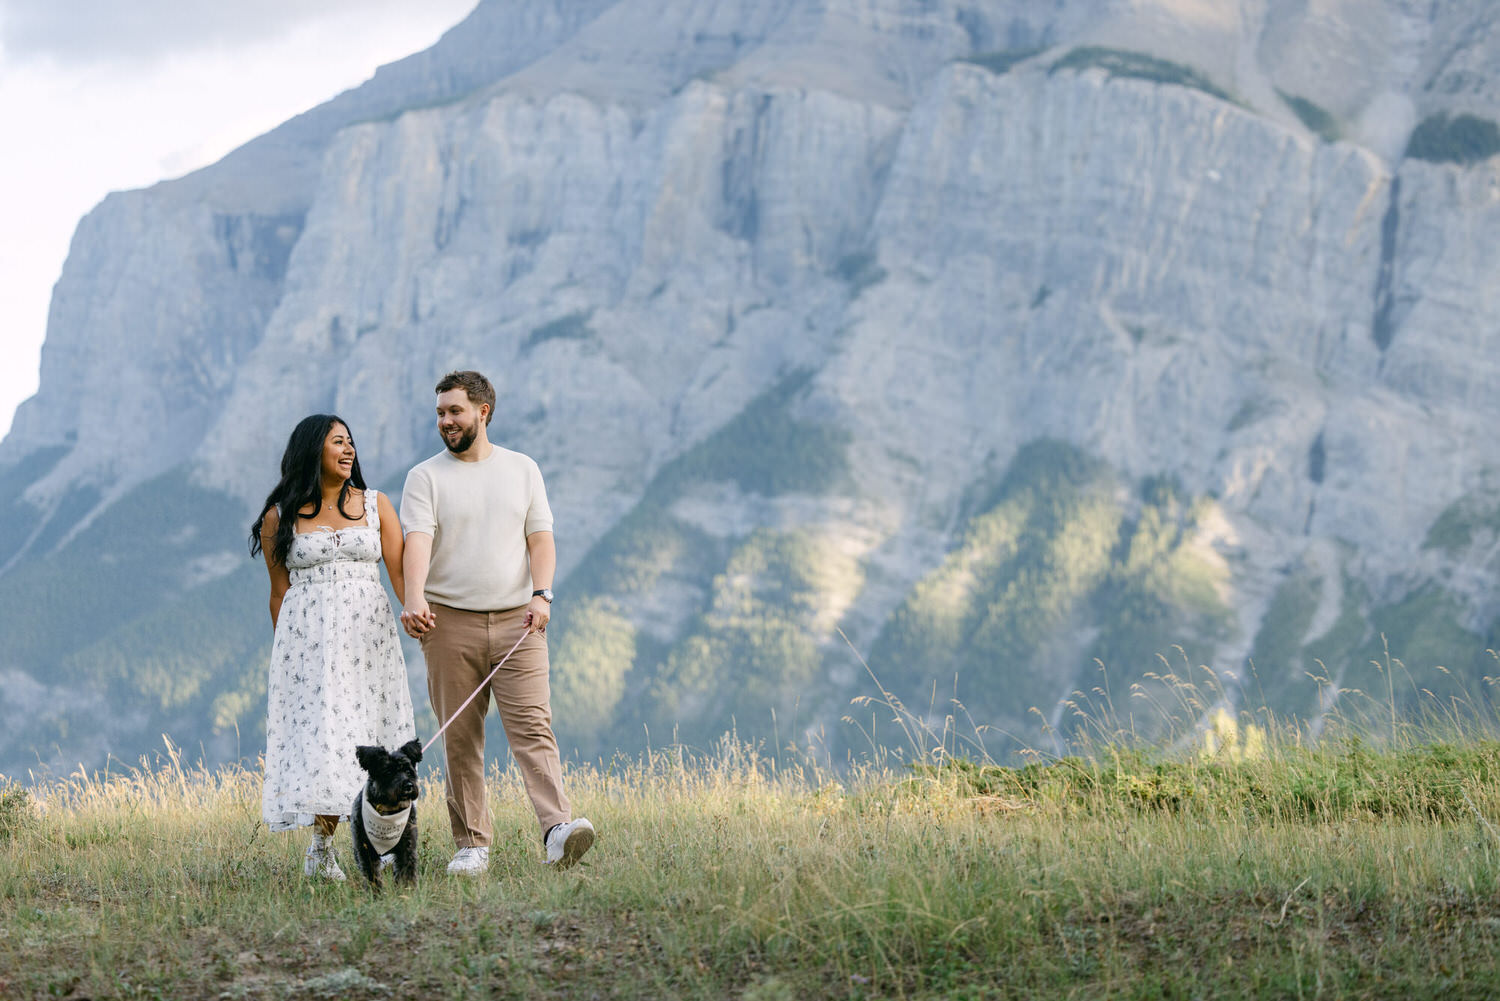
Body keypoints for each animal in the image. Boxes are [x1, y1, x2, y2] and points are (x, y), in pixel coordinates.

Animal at [351, 735, 423, 894]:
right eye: (389, 772)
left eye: (408, 771)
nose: (408, 786)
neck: (389, 810)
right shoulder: (366, 850)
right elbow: (371, 875)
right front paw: (375, 895)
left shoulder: (407, 847)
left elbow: (407, 871)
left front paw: (407, 892)